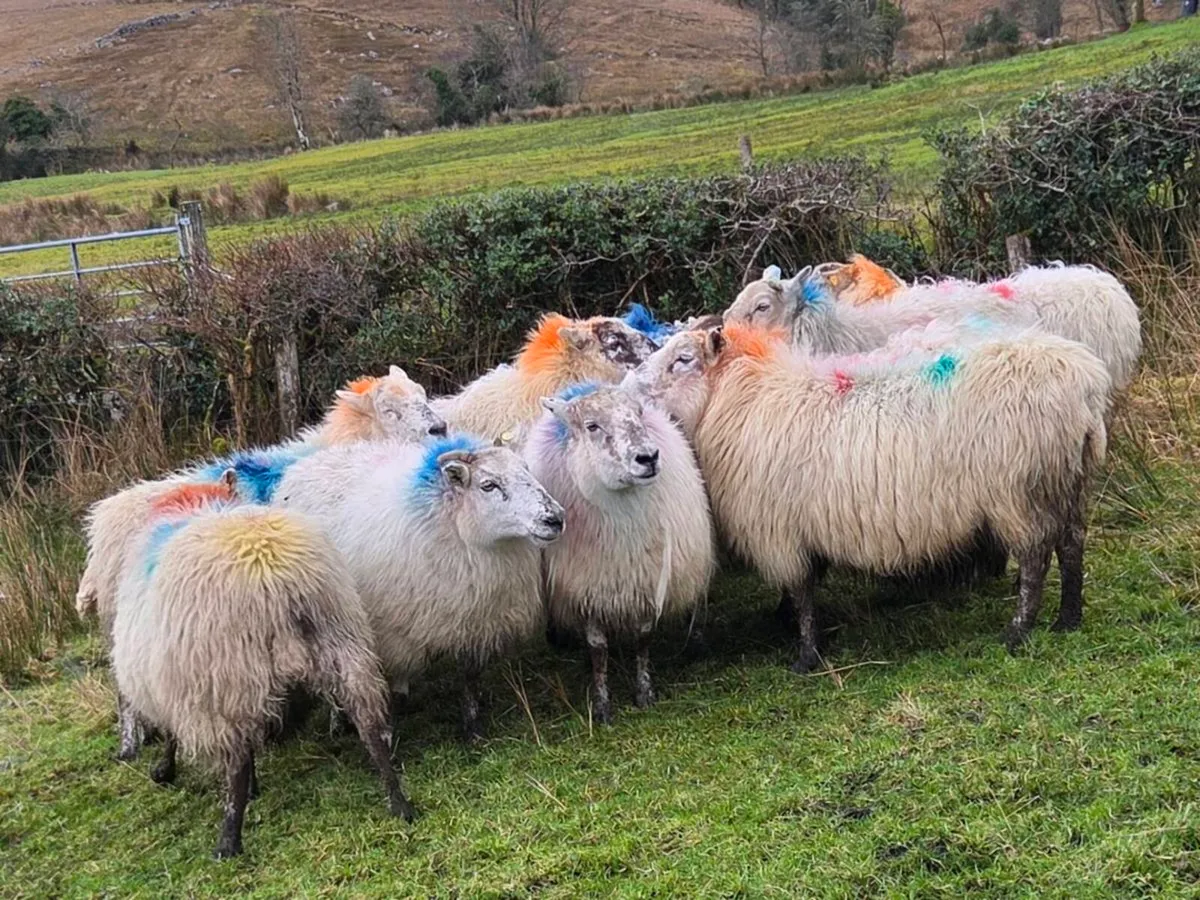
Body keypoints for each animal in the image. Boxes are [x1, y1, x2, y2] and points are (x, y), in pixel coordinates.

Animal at [77, 365, 445, 760]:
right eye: (389, 411)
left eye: (422, 394)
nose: (440, 428)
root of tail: (102, 519)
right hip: (123, 619)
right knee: (124, 691)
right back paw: (130, 743)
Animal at [113, 478, 413, 858]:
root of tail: (277, 579)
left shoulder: (181, 684)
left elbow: (171, 733)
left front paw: (163, 770)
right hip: (343, 645)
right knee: (371, 729)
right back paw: (399, 802)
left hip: (232, 674)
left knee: (238, 762)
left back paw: (229, 840)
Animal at [274, 435, 565, 741]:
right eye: (488, 485)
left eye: (527, 470)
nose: (555, 518)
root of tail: (304, 464)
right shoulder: (386, 633)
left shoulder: (474, 619)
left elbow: (469, 678)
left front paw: (473, 730)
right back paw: (338, 721)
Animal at [524, 383, 715, 724]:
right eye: (591, 426)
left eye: (638, 413)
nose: (648, 458)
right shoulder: (587, 589)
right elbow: (598, 648)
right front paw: (601, 706)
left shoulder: (648, 580)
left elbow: (643, 638)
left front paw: (644, 692)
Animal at [627, 323, 1111, 671]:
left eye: (682, 359)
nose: (629, 388)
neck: (738, 399)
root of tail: (1085, 386)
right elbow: (805, 586)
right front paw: (787, 627)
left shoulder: (779, 528)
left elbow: (801, 591)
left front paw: (805, 657)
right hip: (1069, 481)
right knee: (1072, 546)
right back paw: (1068, 620)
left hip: (1020, 491)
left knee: (1035, 558)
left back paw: (1018, 631)